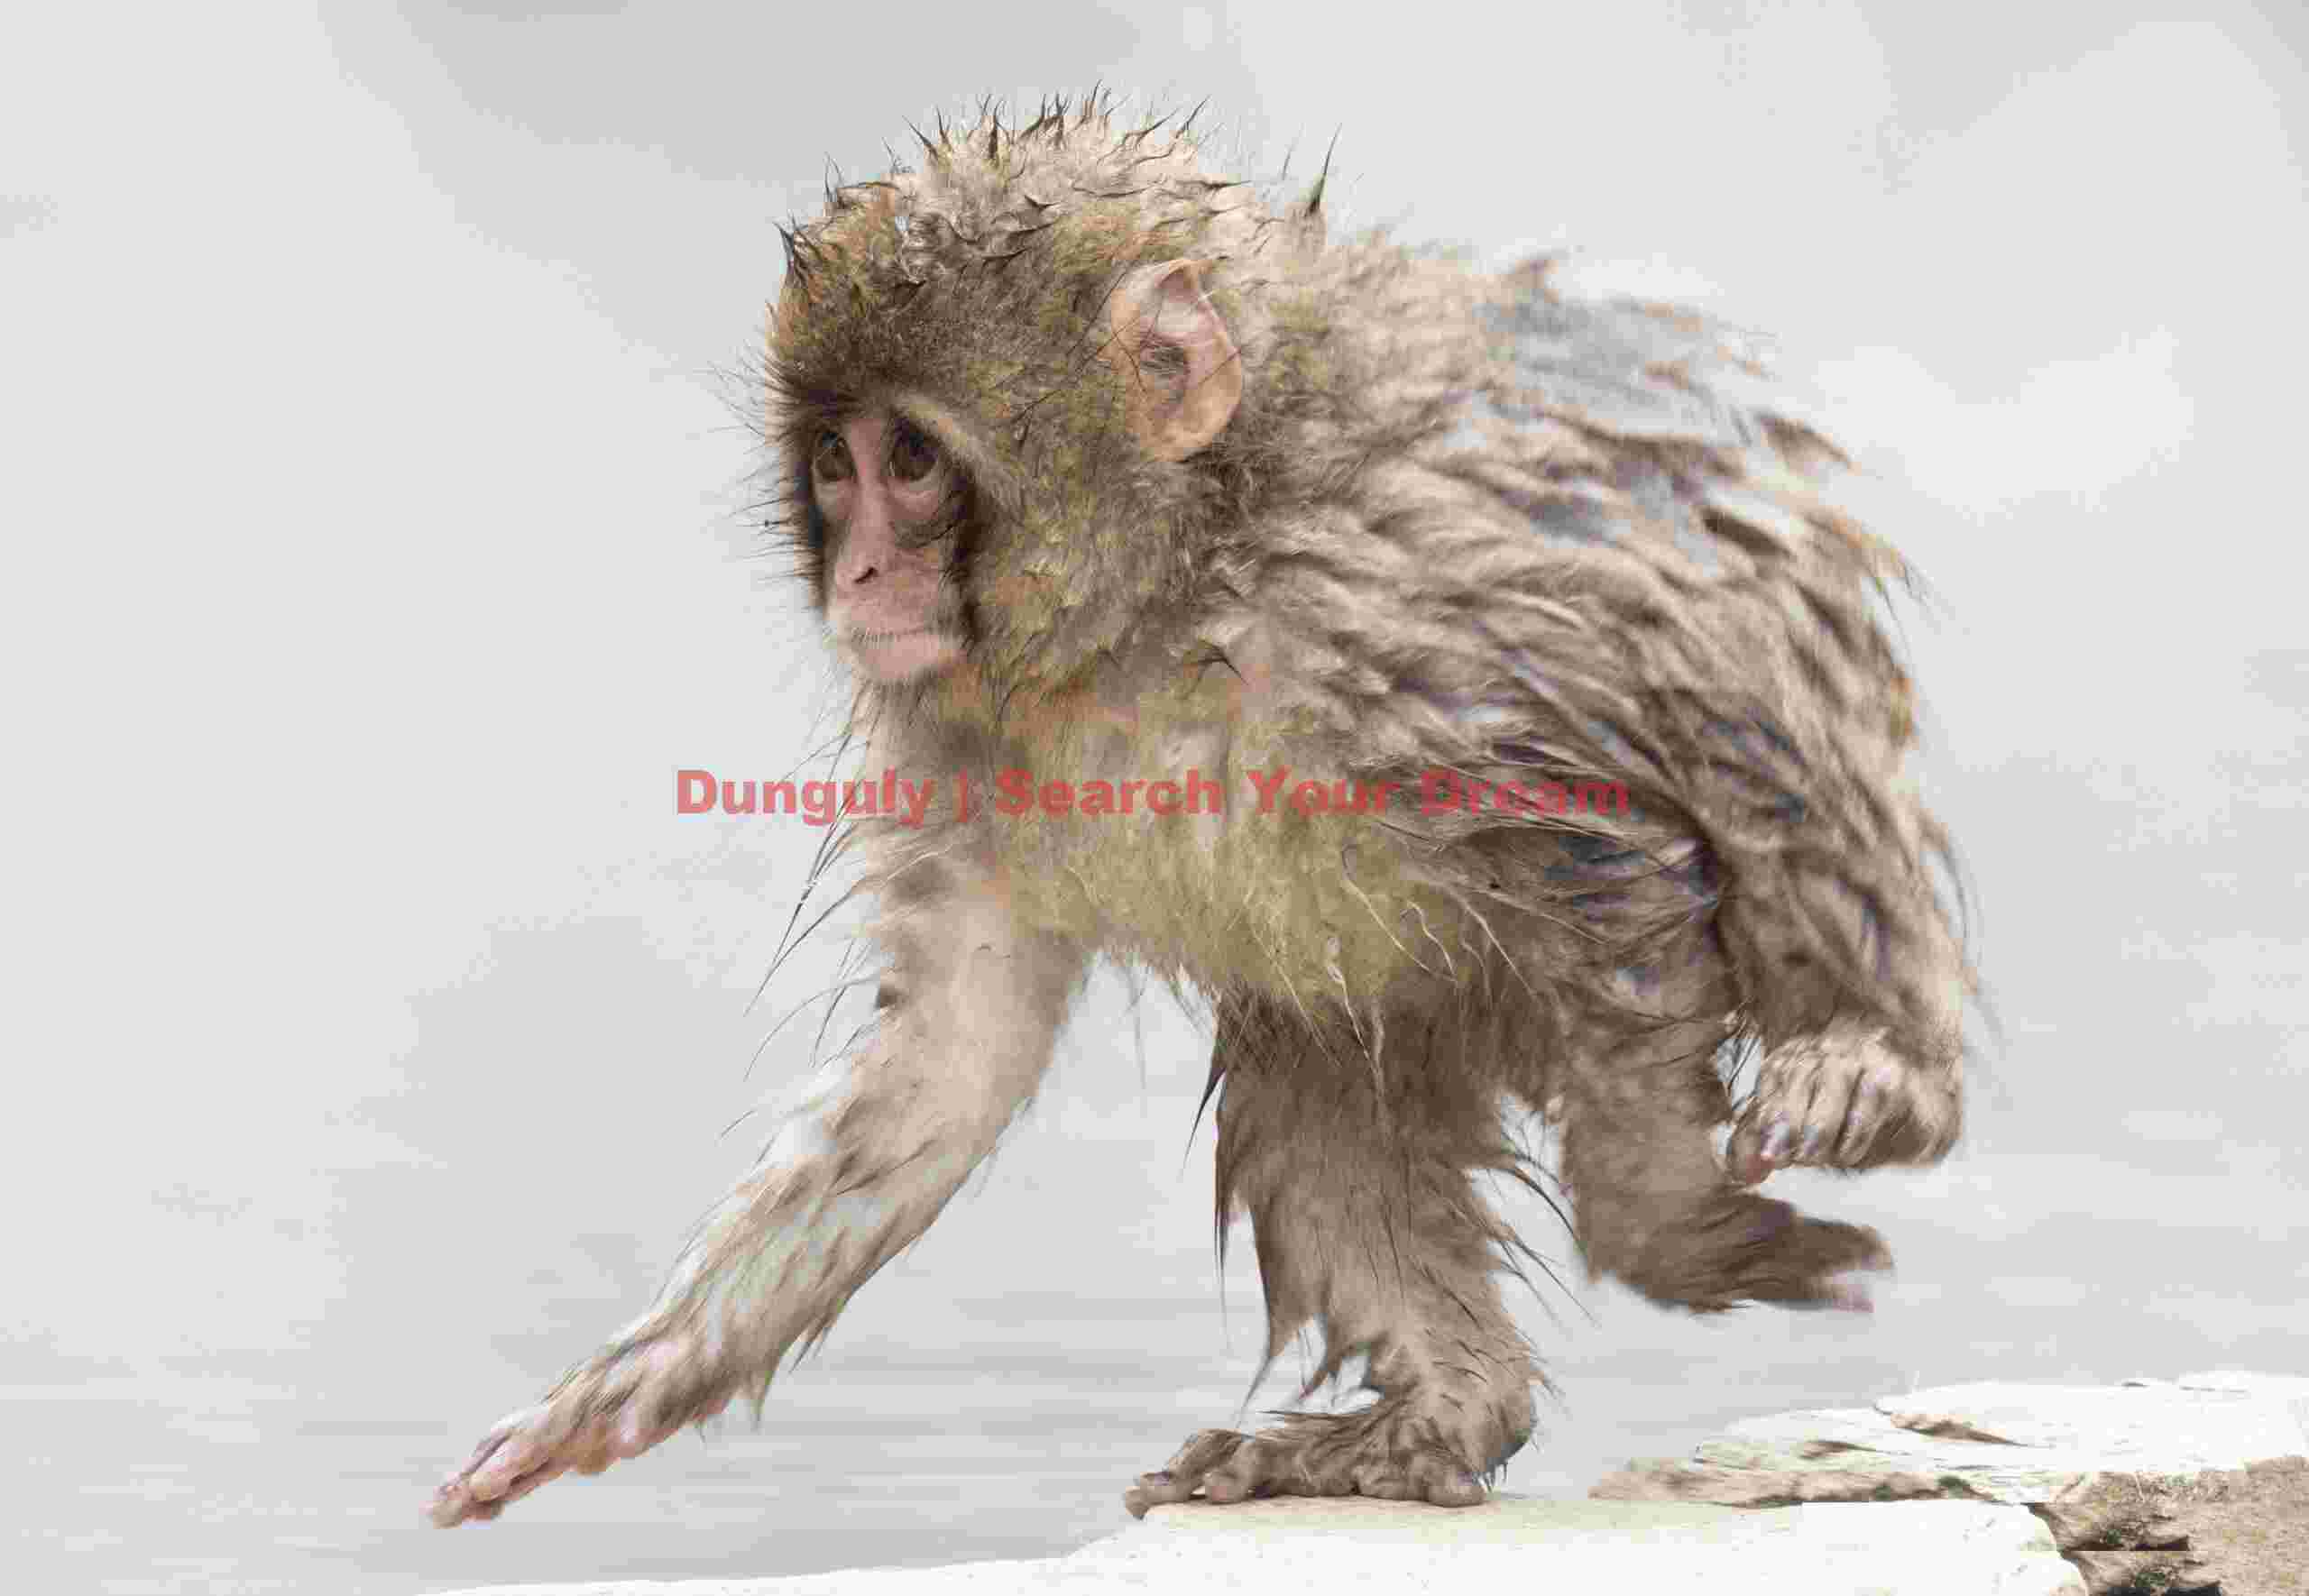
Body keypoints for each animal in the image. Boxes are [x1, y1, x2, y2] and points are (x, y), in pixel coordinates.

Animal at [427, 93, 1972, 1529]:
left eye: (910, 463)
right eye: (830, 462)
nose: (859, 574)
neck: (1177, 588)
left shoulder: (1408, 636)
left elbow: (1607, 865)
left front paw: (1672, 1229)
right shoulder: (968, 741)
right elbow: (950, 1055)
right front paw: (625, 1383)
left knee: (1754, 726)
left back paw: (1873, 1063)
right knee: (1317, 1068)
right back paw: (1446, 1413)